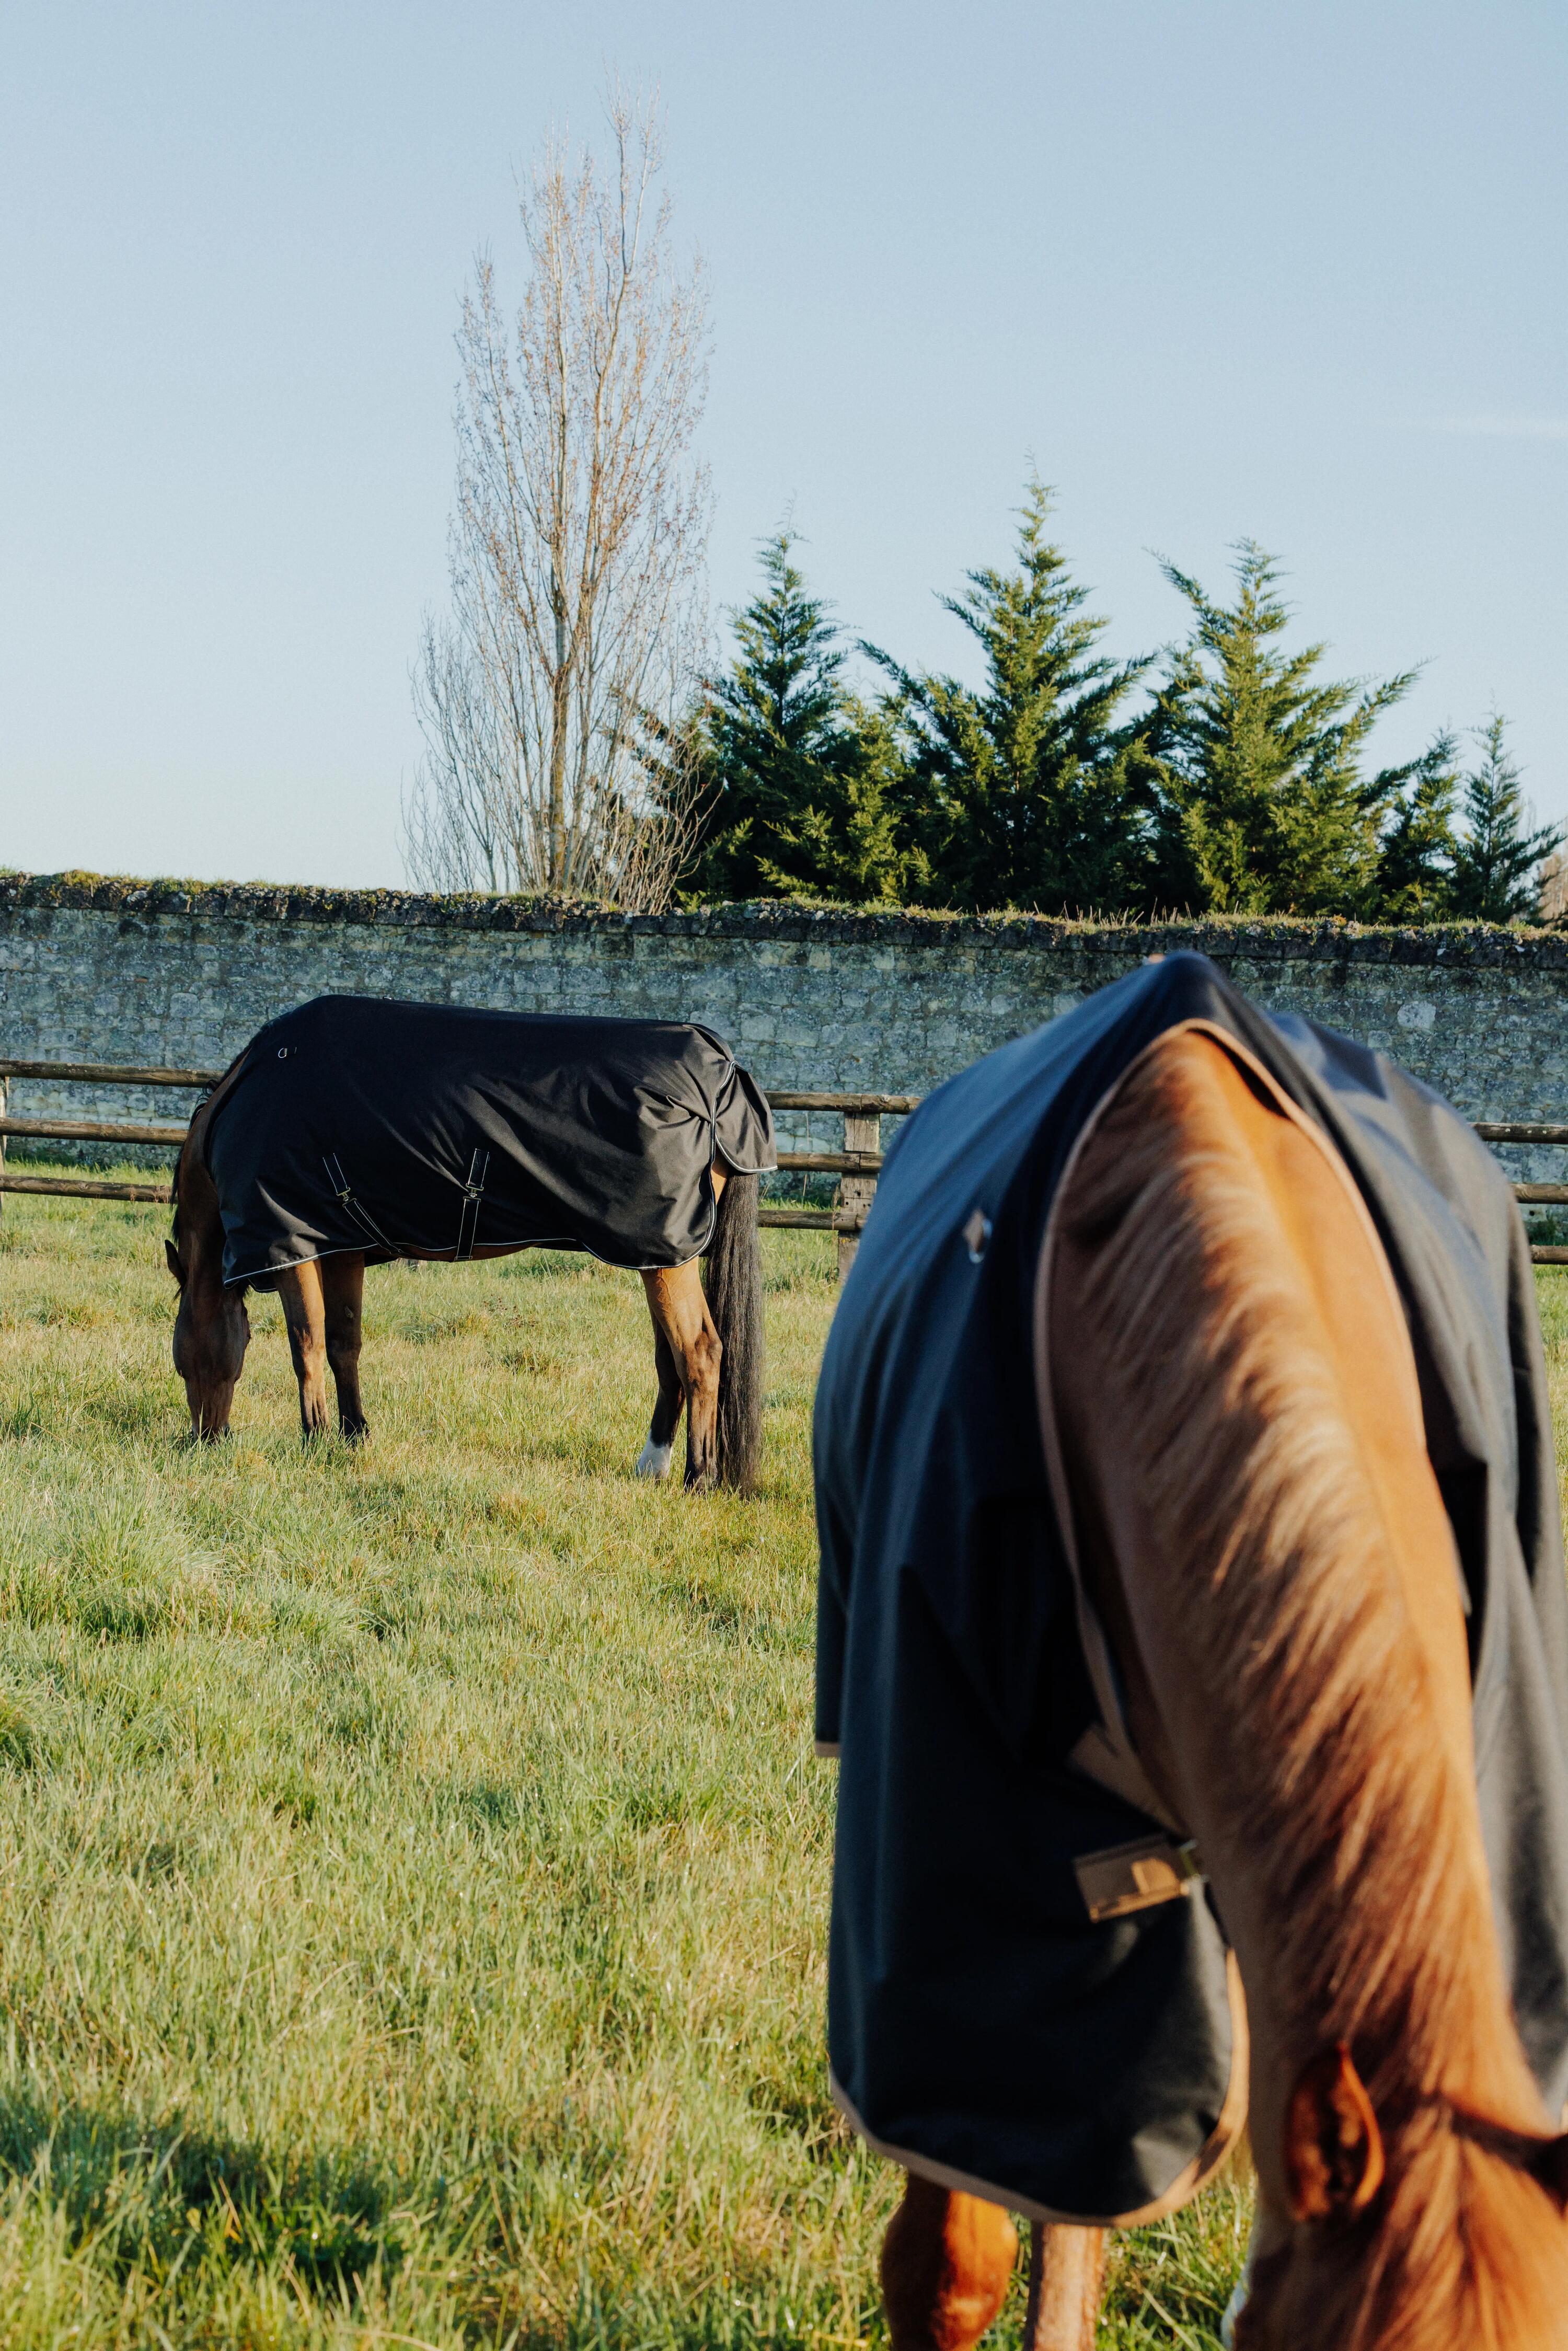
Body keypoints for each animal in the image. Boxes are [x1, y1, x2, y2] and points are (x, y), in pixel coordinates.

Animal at [164, 995, 773, 1490]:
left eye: (181, 1360)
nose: (203, 1439)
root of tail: (723, 1072)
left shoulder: (292, 1243)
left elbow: (306, 1346)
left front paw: (314, 1440)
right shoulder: (340, 1246)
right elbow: (343, 1343)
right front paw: (354, 1435)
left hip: (667, 1255)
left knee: (699, 1352)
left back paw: (699, 1476)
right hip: (663, 1255)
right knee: (671, 1357)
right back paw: (654, 1464)